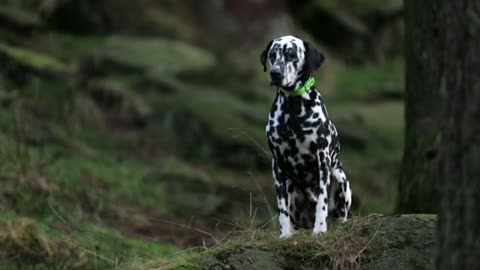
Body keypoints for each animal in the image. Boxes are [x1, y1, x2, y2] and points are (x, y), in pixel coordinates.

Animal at [260, 35, 350, 238]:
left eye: (292, 54)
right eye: (272, 54)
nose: (275, 73)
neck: (294, 109)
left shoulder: (322, 159)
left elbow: (322, 202)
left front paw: (320, 229)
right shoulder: (277, 164)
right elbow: (282, 207)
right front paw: (285, 234)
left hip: (339, 176)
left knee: (341, 214)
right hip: (291, 185)